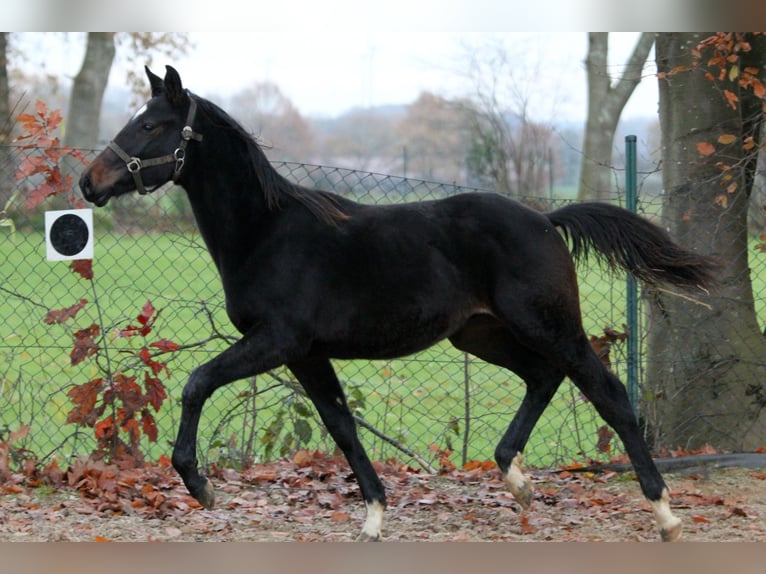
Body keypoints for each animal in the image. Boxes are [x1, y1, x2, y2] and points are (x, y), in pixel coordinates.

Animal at [81, 67, 716, 544]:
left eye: (152, 124)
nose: (90, 182)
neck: (268, 233)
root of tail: (546, 219)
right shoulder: (306, 354)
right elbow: (340, 425)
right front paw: (374, 518)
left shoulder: (276, 341)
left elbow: (197, 382)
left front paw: (200, 485)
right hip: (481, 334)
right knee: (542, 377)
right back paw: (518, 480)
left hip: (549, 325)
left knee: (607, 393)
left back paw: (665, 515)